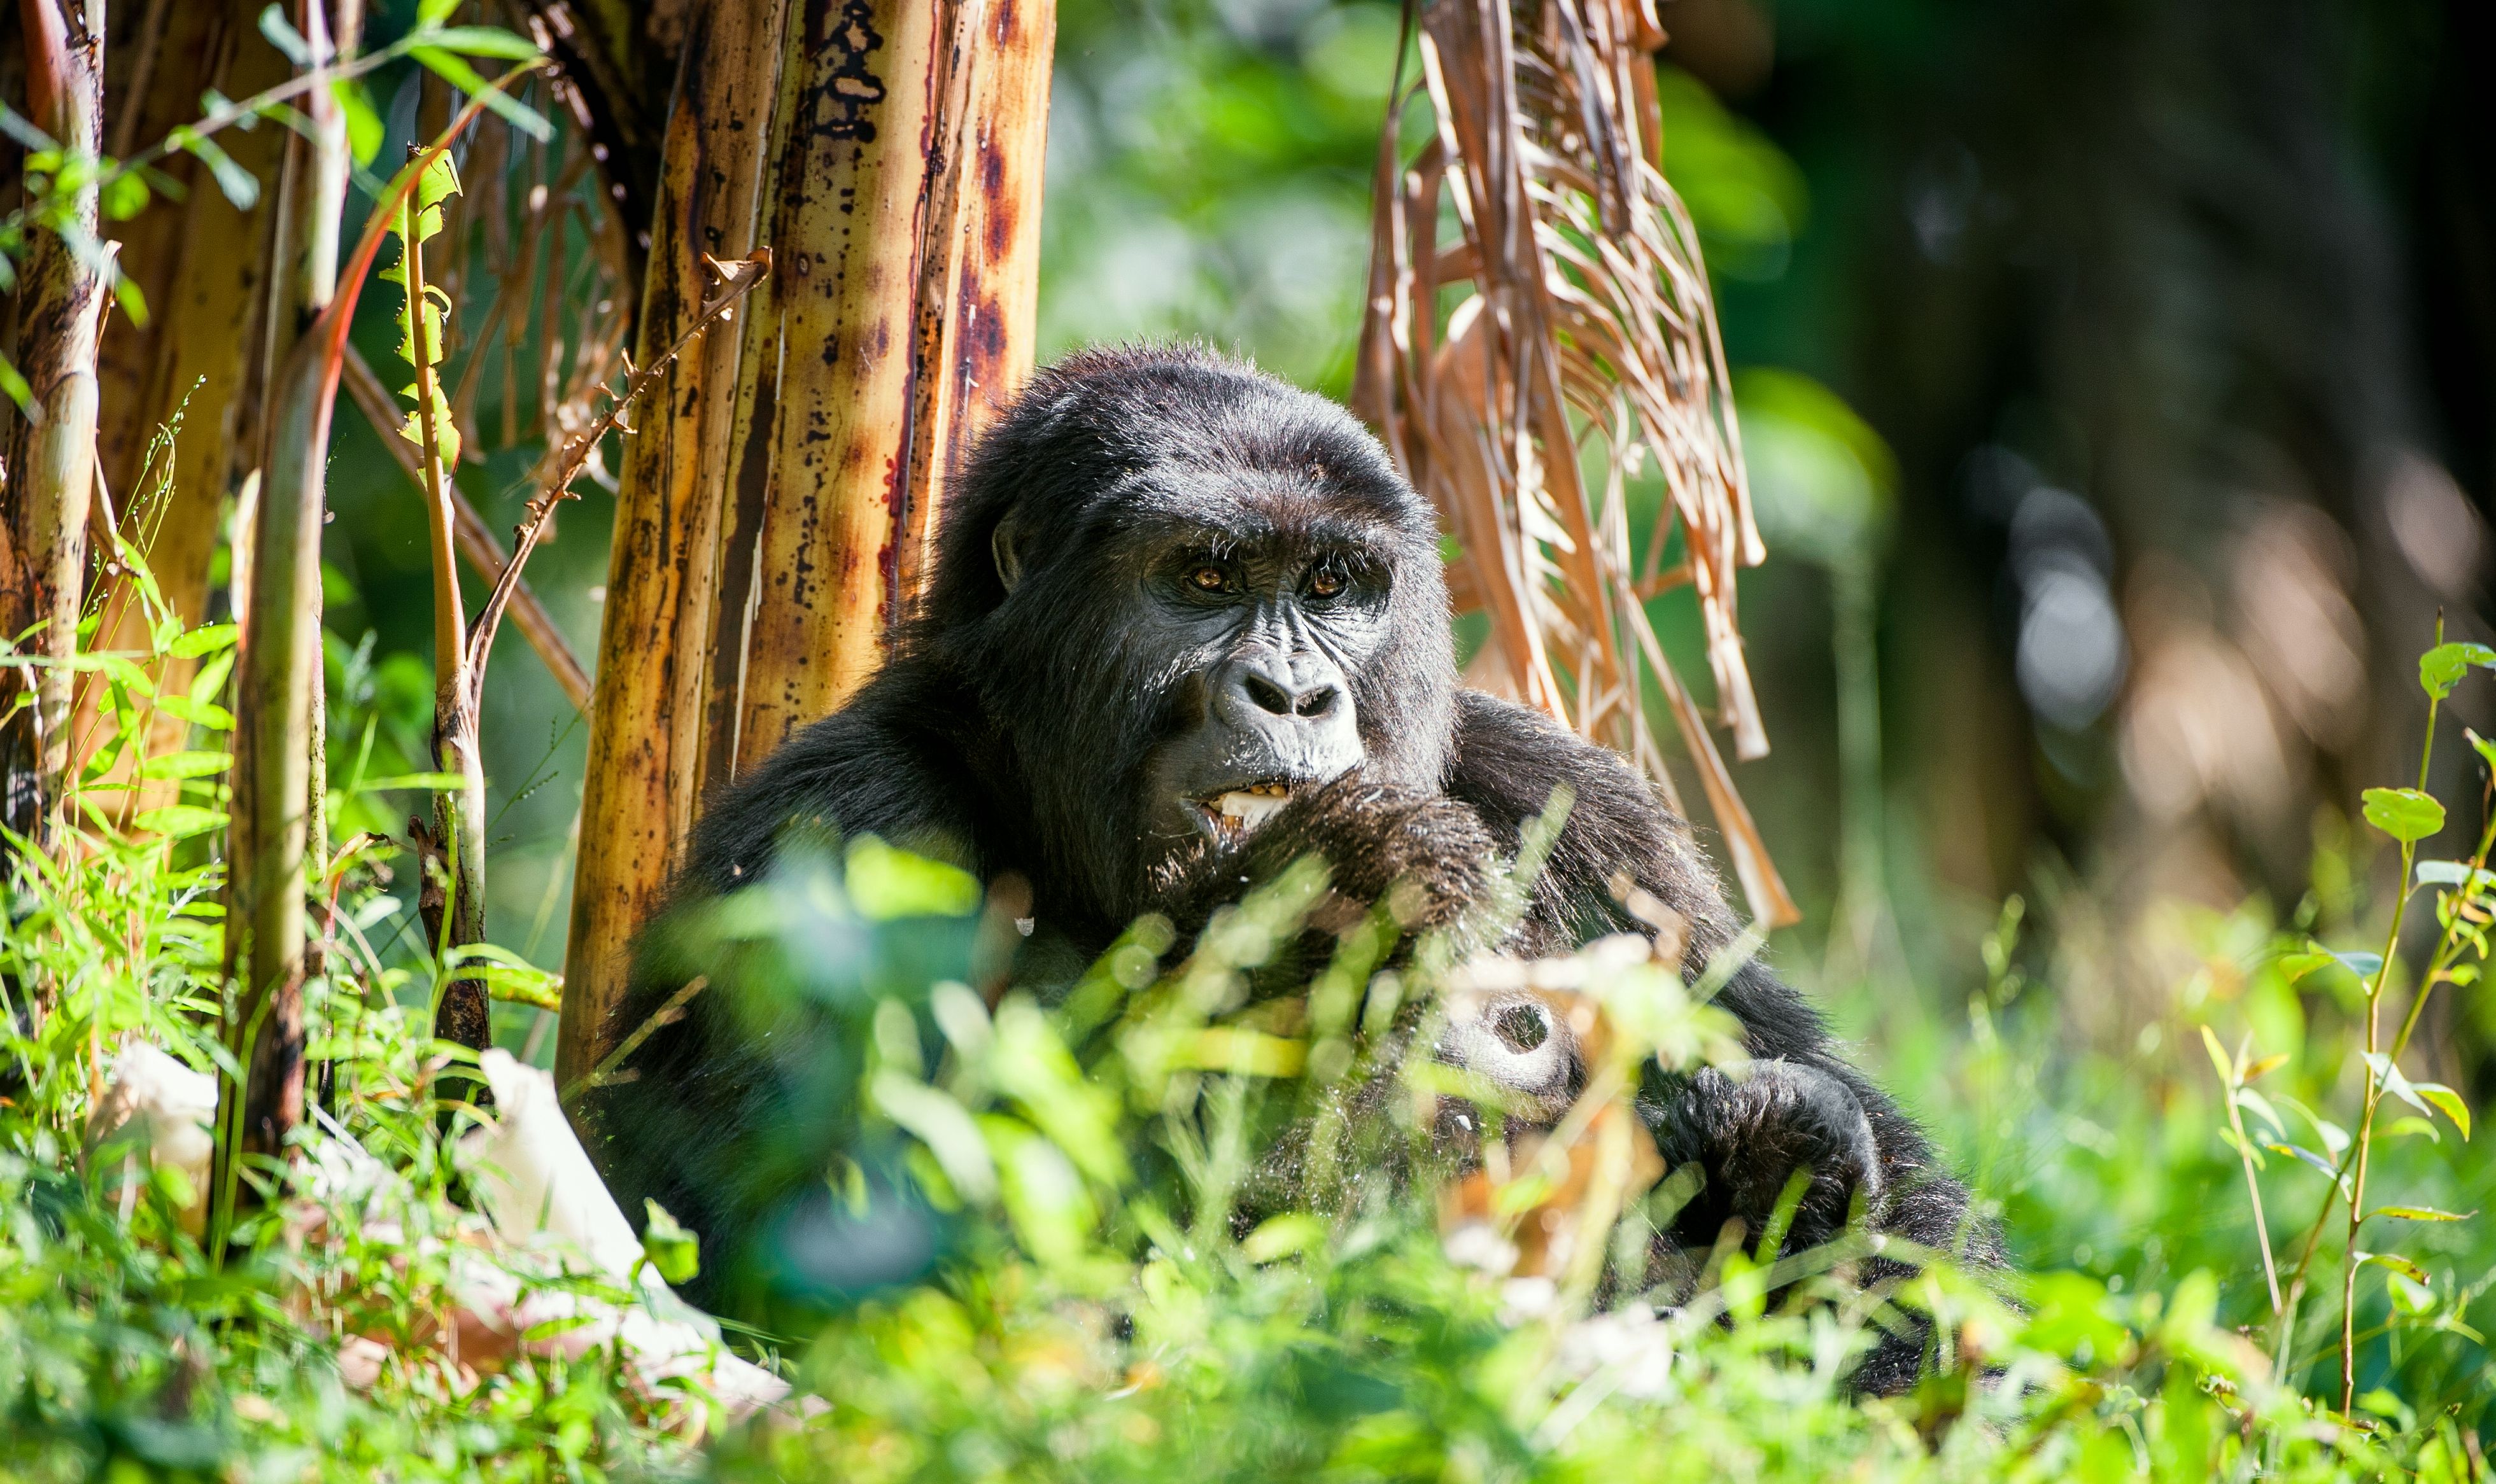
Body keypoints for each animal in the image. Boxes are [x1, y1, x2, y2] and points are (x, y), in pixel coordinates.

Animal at [574, 346, 1996, 1396]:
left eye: (1333, 582)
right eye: (1204, 577)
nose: (1295, 691)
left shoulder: (1586, 808)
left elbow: (1924, 1235)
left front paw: (1796, 1168)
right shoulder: (829, 828)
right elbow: (818, 1228)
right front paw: (1311, 903)